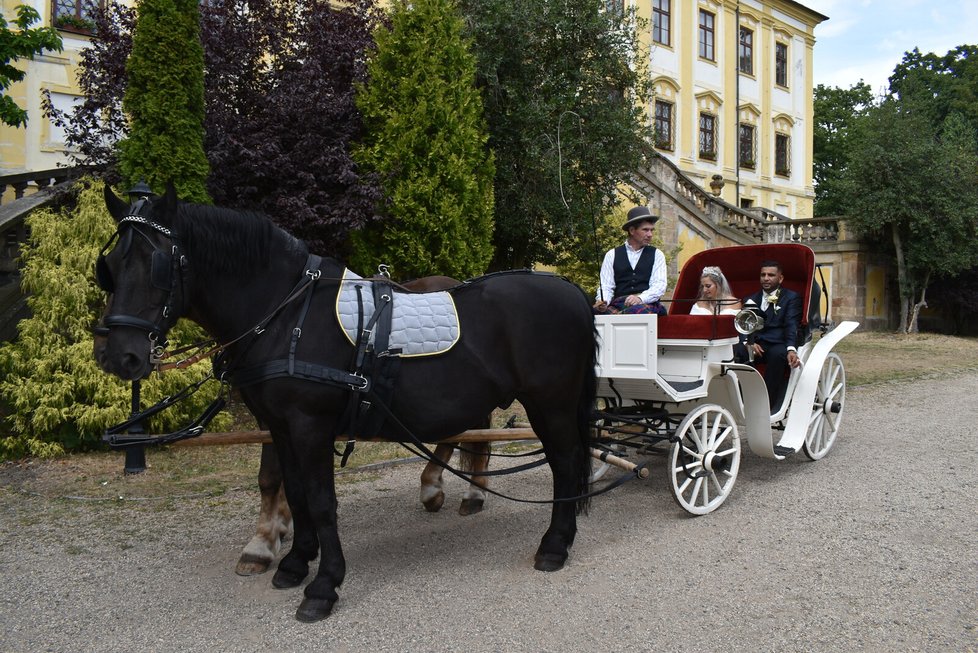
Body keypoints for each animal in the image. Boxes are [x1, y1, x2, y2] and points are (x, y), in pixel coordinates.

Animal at [97, 187, 596, 620]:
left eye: (157, 264)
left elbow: (320, 501)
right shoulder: (279, 425)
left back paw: (554, 544)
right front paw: (294, 562)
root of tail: (571, 289)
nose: (118, 355)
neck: (287, 314)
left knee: (565, 463)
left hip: (550, 404)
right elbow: (293, 493)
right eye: (111, 266)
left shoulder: (309, 424)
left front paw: (323, 585)